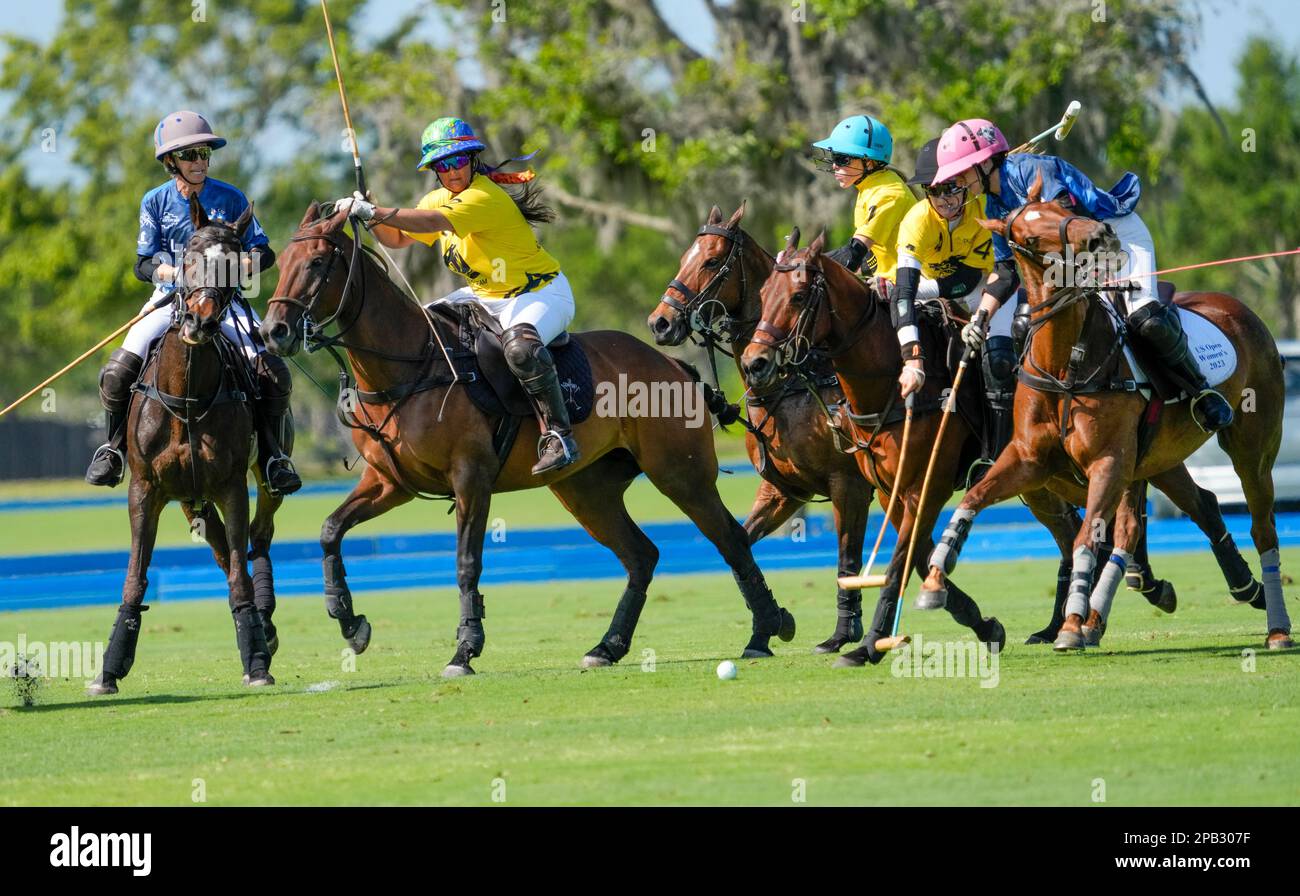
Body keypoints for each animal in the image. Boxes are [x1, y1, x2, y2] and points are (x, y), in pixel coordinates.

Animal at [89, 201, 282, 691]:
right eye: (188, 257)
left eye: (234, 265)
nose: (200, 321)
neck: (188, 395)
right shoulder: (145, 489)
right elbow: (135, 577)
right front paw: (110, 667)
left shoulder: (231, 485)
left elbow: (237, 572)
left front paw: (255, 661)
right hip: (189, 497)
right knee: (221, 547)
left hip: (257, 479)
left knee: (258, 536)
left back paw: (264, 620)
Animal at [260, 204, 795, 676]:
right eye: (280, 262)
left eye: (316, 262)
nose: (273, 332)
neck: (408, 364)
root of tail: (673, 363)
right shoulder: (391, 482)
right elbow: (330, 529)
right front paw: (350, 622)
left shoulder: (470, 478)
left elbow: (466, 563)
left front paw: (464, 651)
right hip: (585, 489)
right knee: (642, 555)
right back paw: (607, 647)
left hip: (680, 472)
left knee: (729, 537)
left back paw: (768, 628)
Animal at [647, 202, 873, 650]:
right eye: (683, 257)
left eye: (712, 260)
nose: (659, 323)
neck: (791, 384)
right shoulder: (782, 491)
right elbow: (738, 544)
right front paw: (769, 625)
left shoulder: (849, 484)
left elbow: (847, 559)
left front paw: (843, 633)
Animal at [920, 176, 1294, 650]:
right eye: (1026, 237)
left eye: (1063, 207)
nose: (1100, 235)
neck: (1065, 366)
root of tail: (1241, 310)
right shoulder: (1029, 459)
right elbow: (971, 501)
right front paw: (934, 580)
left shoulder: (1108, 462)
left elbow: (1087, 535)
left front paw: (1072, 624)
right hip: (1159, 457)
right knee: (1186, 509)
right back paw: (1238, 590)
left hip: (1251, 448)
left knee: (1262, 527)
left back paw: (1277, 626)